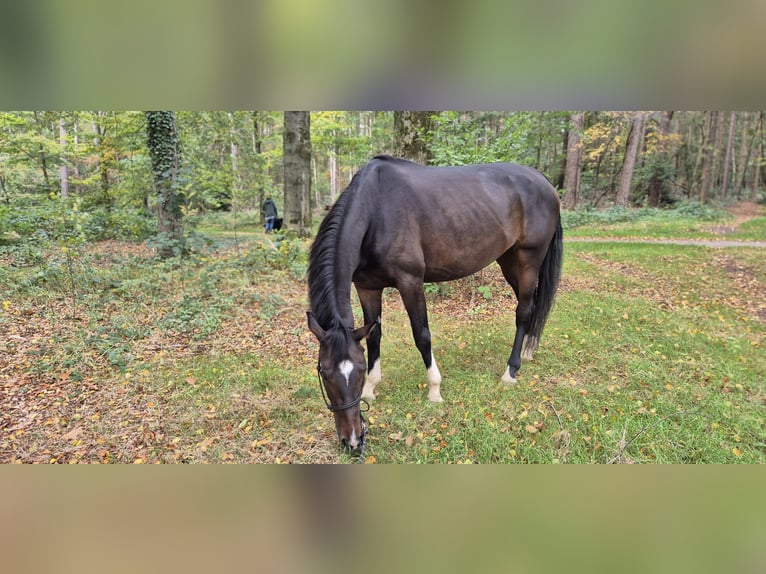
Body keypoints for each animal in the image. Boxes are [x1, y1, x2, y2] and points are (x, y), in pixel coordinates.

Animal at [306, 155, 564, 452]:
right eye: (324, 372)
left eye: (357, 371)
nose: (352, 440)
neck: (375, 210)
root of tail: (543, 181)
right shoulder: (367, 287)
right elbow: (374, 336)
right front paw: (371, 389)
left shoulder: (410, 282)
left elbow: (422, 336)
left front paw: (434, 390)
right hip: (509, 260)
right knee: (530, 307)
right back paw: (528, 350)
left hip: (529, 260)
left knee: (523, 312)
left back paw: (511, 371)